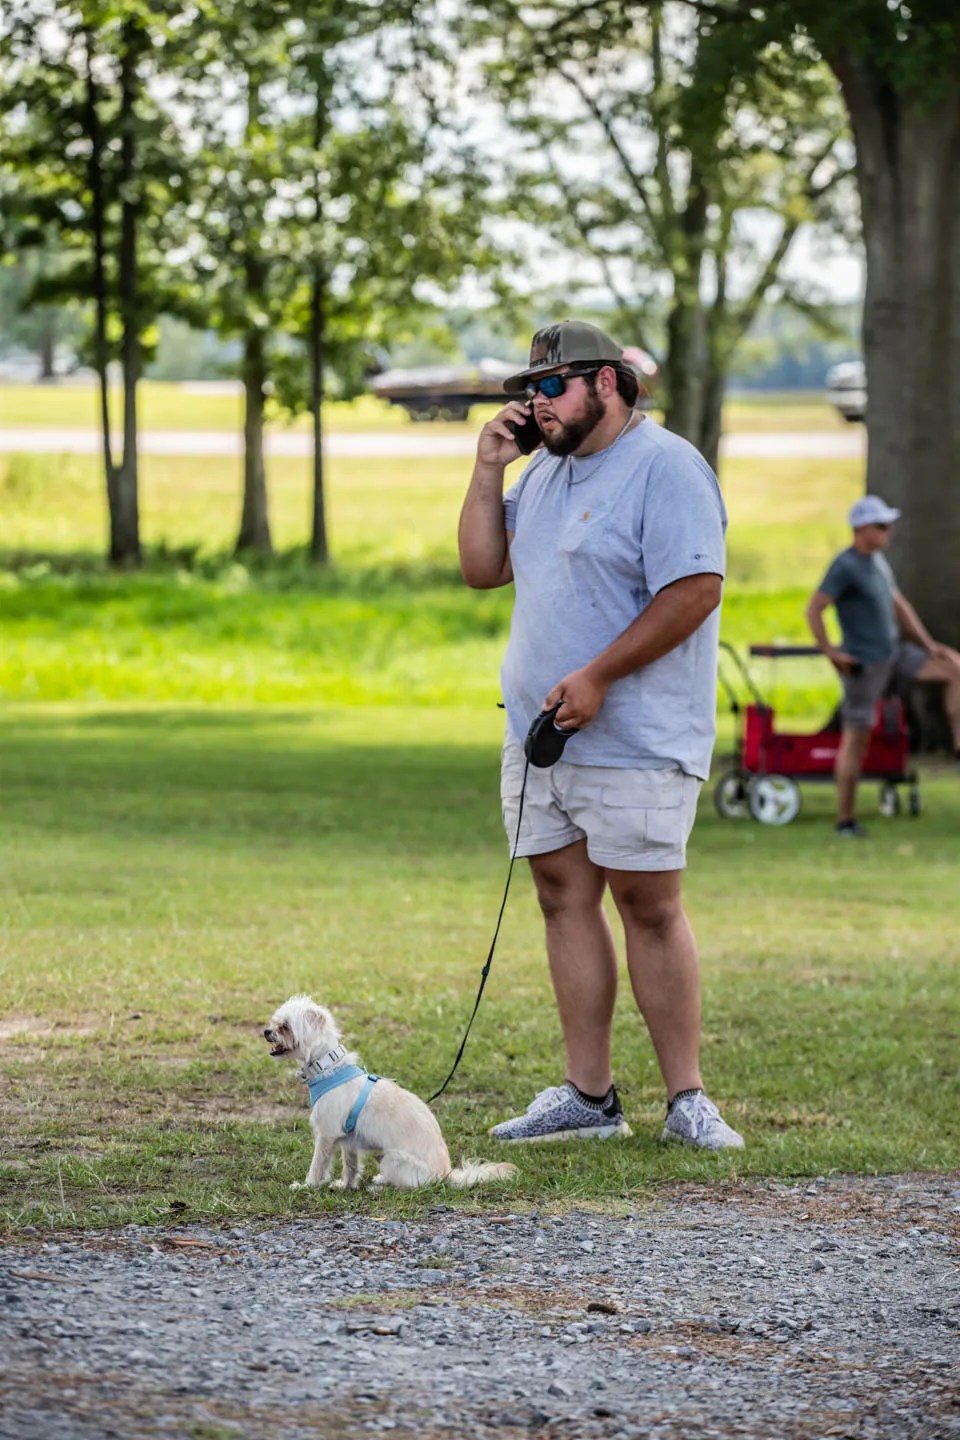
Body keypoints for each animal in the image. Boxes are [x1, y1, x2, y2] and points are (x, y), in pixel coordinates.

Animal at [263, 996, 518, 1186]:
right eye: (275, 1022)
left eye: (285, 1027)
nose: (266, 1031)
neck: (327, 1066)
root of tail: (446, 1172)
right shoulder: (348, 1140)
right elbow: (350, 1165)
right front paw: (346, 1185)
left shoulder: (326, 1135)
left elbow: (318, 1165)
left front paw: (307, 1185)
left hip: (390, 1158)